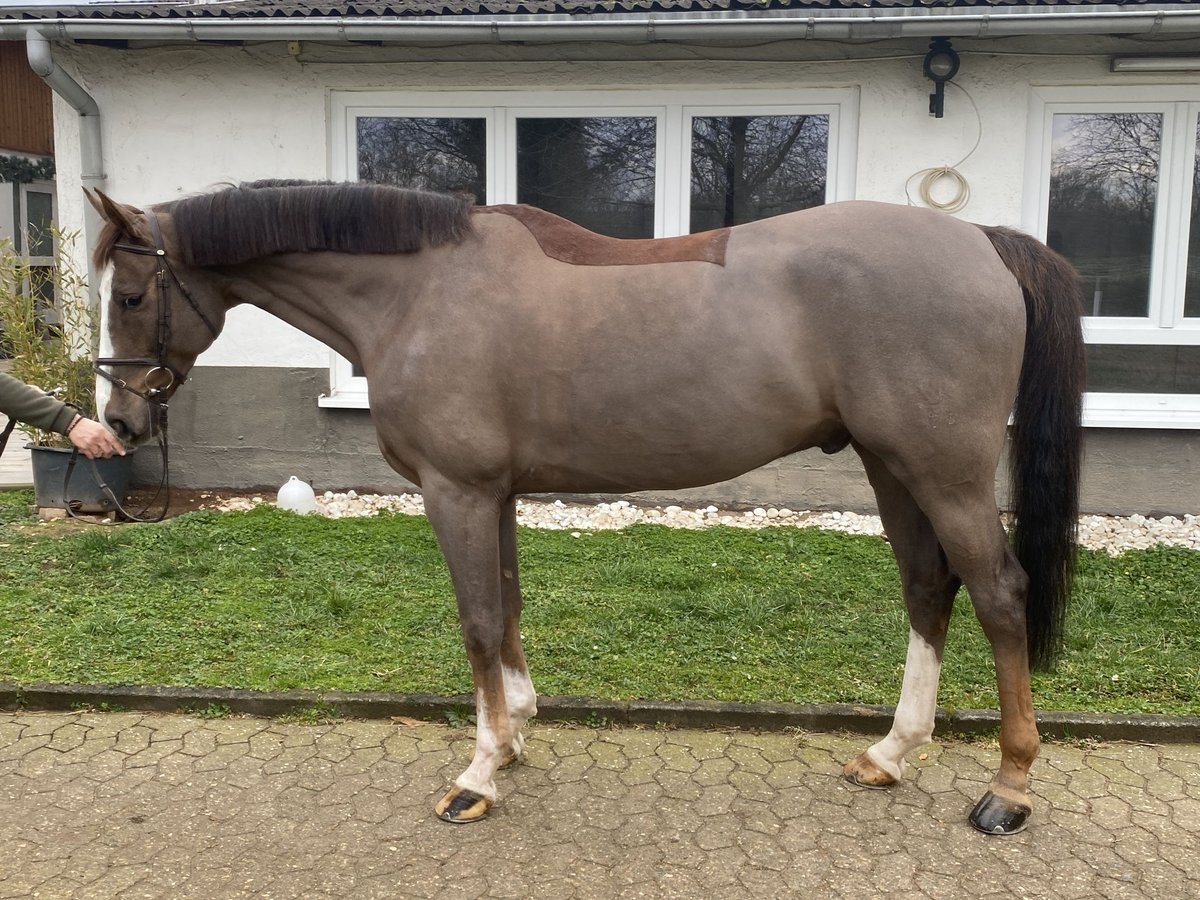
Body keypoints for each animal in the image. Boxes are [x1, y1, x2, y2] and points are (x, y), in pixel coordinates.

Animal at [87, 183, 1089, 840]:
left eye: (131, 296)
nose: (120, 422)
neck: (418, 291)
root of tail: (981, 240)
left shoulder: (455, 489)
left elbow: (477, 619)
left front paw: (478, 773)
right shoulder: (493, 491)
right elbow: (507, 606)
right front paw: (515, 737)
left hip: (943, 471)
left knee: (997, 592)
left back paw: (1009, 788)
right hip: (892, 465)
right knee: (928, 587)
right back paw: (889, 755)